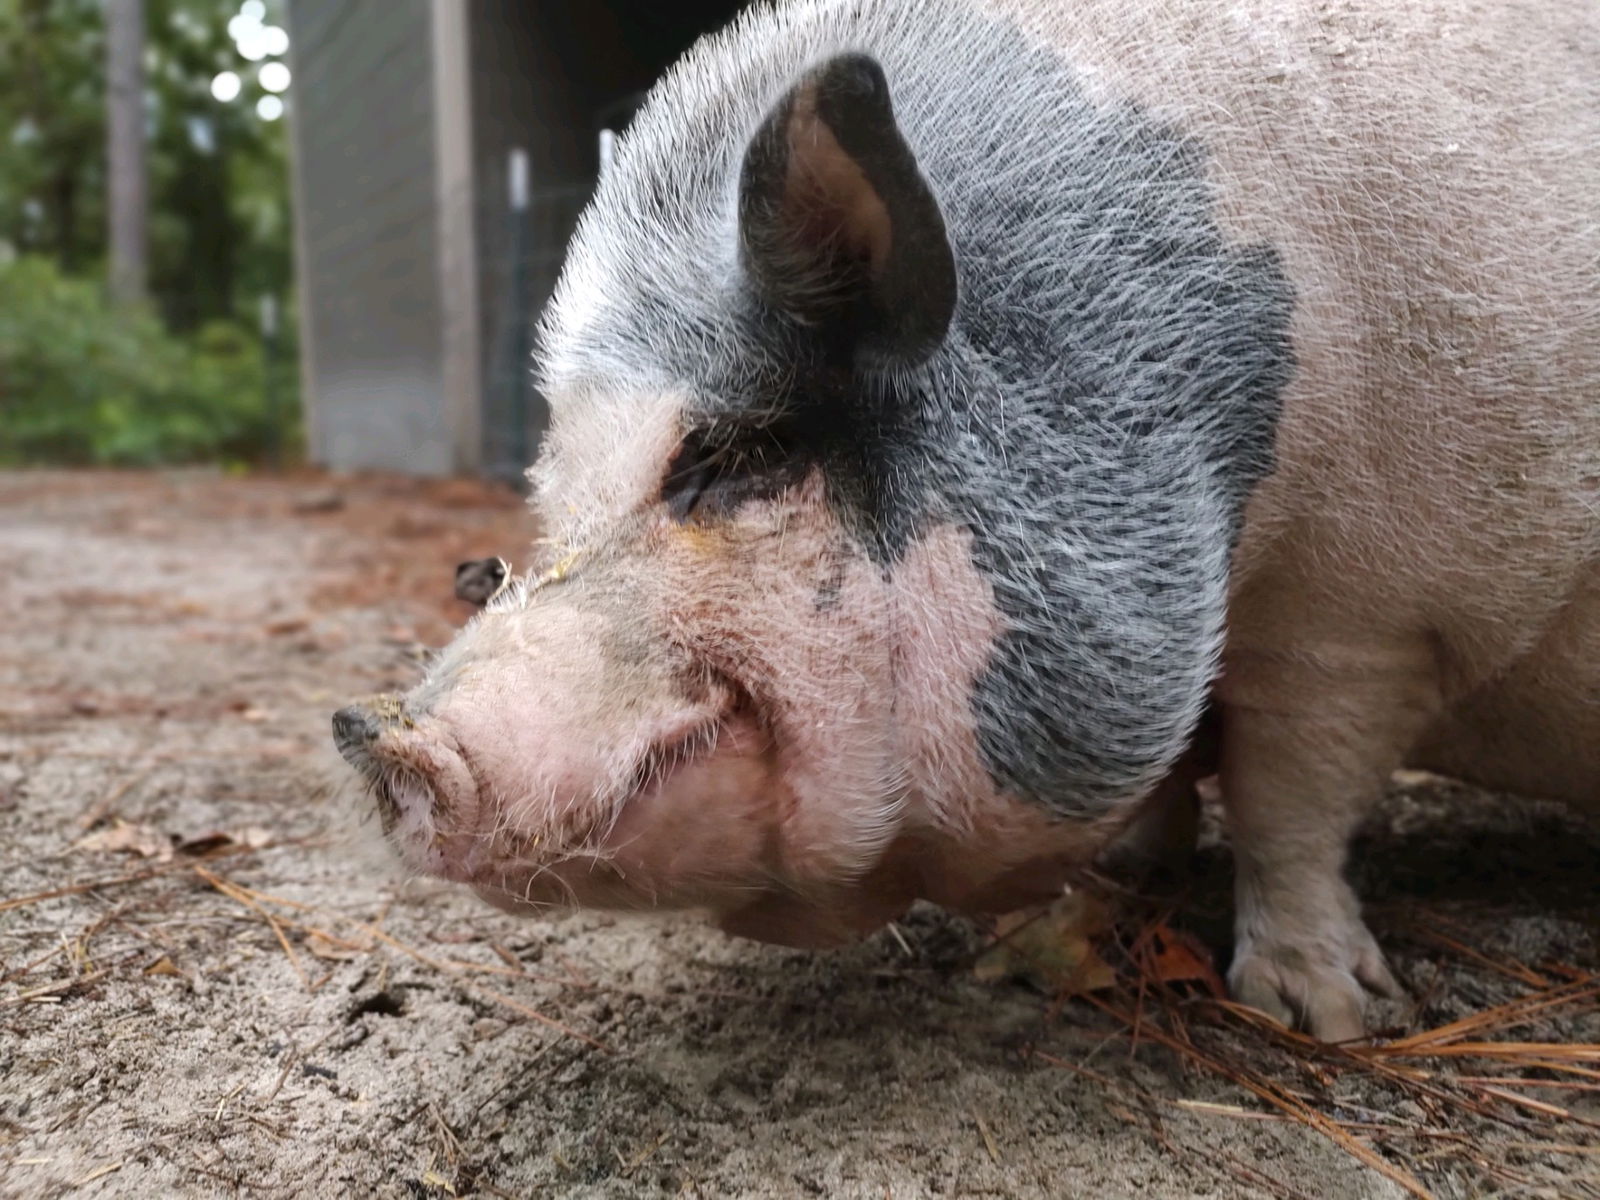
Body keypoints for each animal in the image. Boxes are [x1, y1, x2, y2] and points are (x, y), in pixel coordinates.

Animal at [331, 0, 1593, 1043]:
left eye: (735, 456)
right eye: (548, 497)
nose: (381, 735)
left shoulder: (1362, 609)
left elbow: (1292, 800)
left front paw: (1324, 1019)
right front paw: (1124, 873)